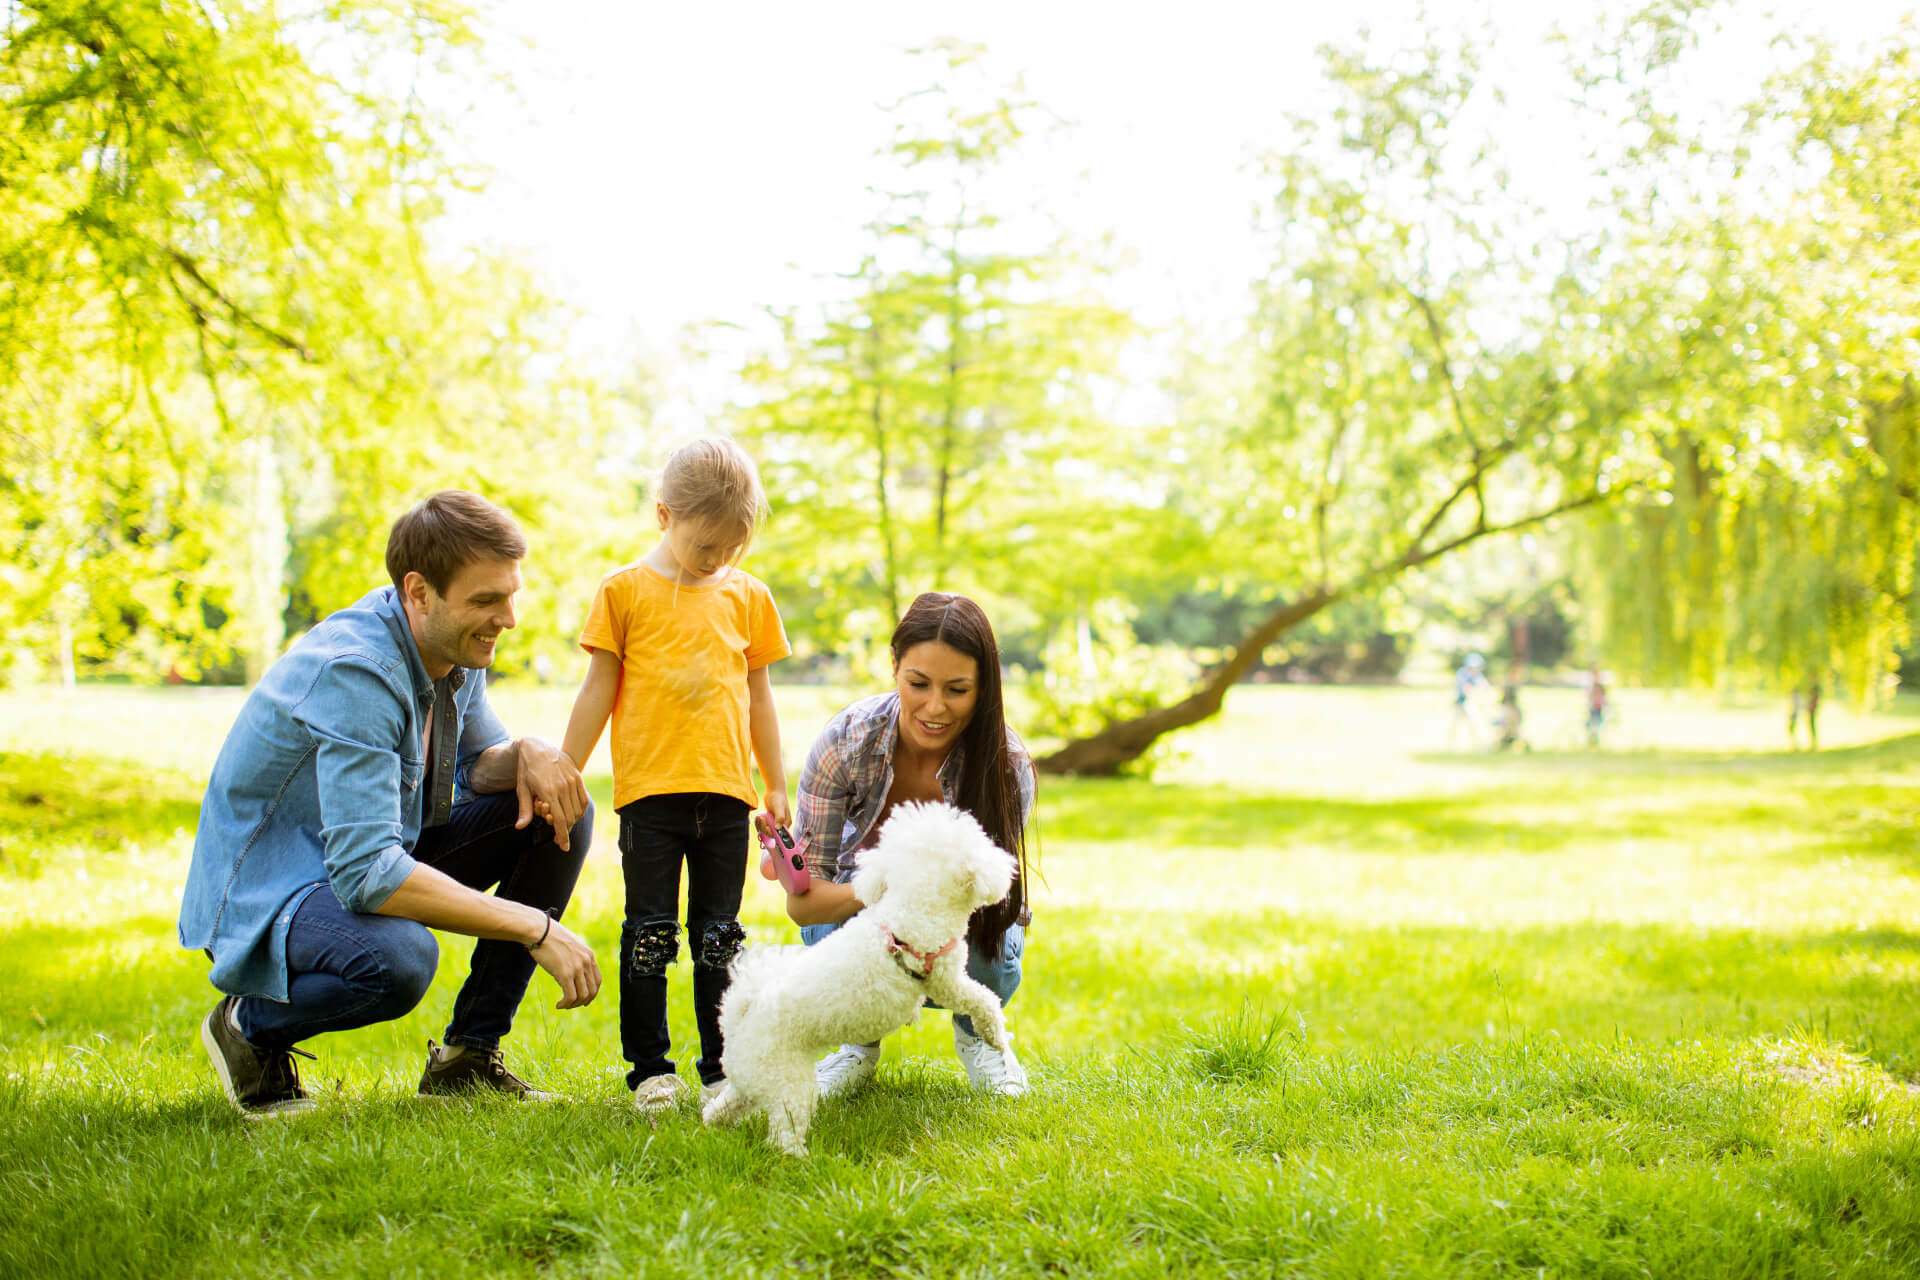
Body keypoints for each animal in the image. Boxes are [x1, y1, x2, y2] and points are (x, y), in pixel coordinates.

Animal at [698, 805, 1013, 1159]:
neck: (914, 903)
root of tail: (742, 1015)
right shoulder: (945, 980)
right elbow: (983, 1000)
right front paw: (996, 1035)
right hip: (788, 1083)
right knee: (784, 1131)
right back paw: (799, 1160)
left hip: (751, 1076)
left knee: (726, 1105)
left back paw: (713, 1127)